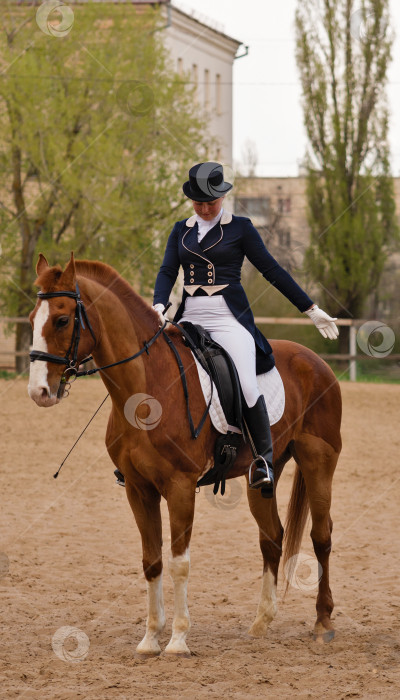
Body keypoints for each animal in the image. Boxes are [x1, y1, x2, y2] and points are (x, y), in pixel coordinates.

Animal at [28, 256, 340, 656]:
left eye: (62, 320)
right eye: (33, 318)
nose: (39, 391)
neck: (145, 389)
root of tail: (315, 360)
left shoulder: (179, 487)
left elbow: (179, 563)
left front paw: (177, 640)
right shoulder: (139, 490)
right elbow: (152, 561)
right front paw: (149, 639)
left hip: (319, 462)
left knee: (321, 536)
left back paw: (323, 623)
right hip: (261, 478)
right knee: (272, 537)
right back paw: (260, 623)